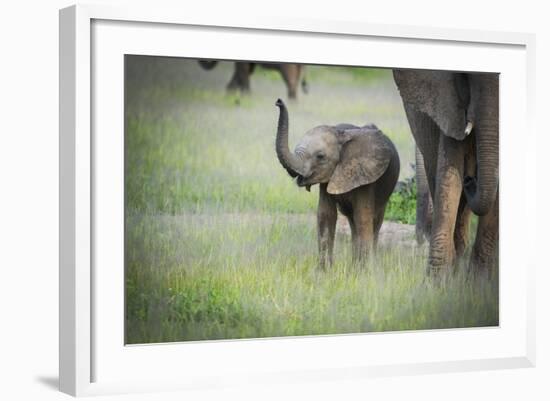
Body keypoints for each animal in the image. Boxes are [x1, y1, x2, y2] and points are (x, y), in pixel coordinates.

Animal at [276, 98, 402, 268]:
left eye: (320, 156)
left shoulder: (366, 177)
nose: (278, 102)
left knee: (374, 221)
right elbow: (326, 216)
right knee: (352, 221)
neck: (340, 133)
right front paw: (324, 271)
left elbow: (363, 217)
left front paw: (363, 271)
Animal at [394, 69, 502, 276]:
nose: (470, 179)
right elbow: (449, 177)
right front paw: (436, 282)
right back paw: (455, 269)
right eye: (466, 77)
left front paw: (480, 282)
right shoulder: (449, 107)